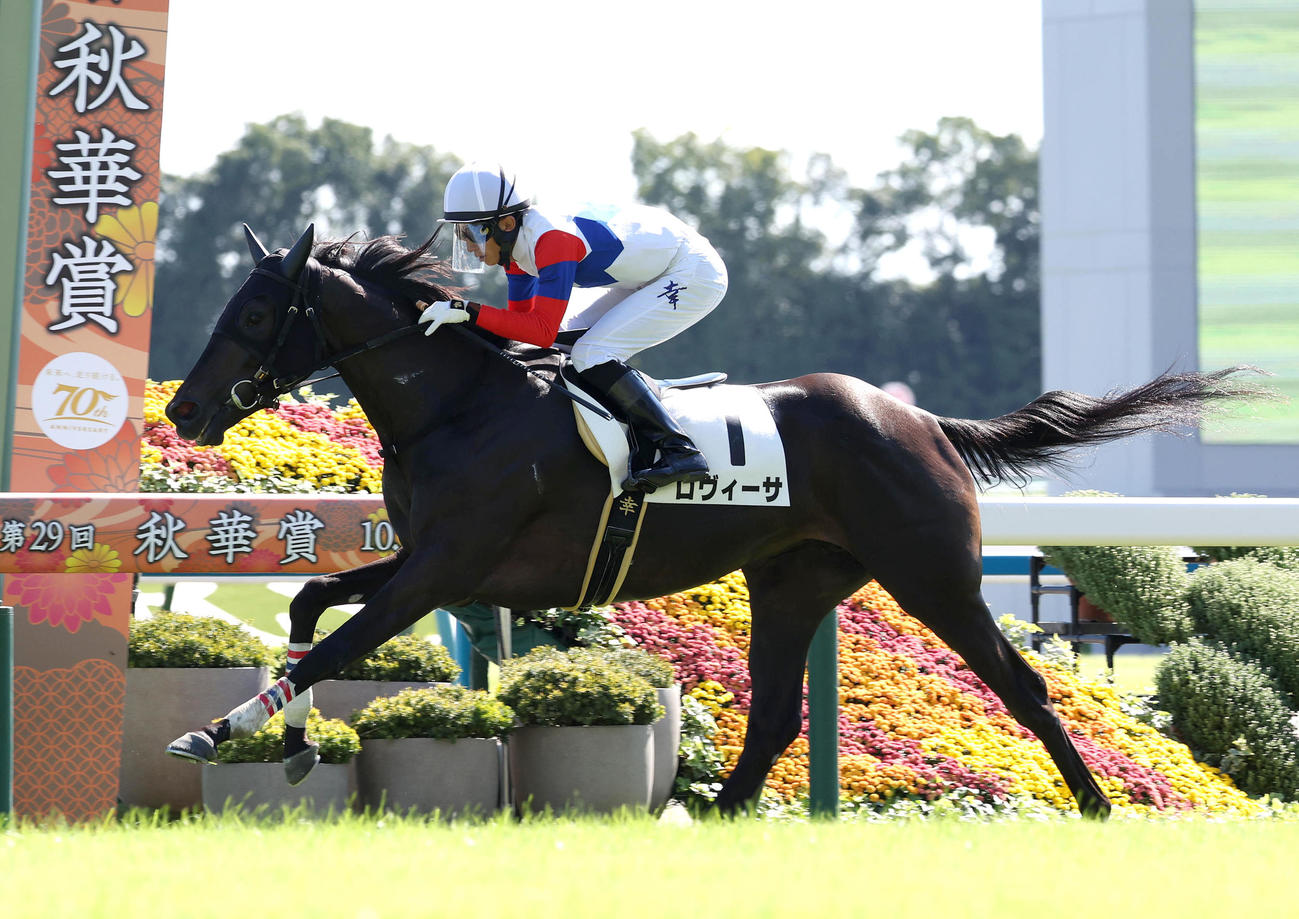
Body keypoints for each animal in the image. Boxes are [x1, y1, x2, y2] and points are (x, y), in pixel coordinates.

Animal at [162, 223, 1259, 819]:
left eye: (253, 315)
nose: (184, 409)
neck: (459, 405)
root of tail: (915, 418)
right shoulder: (439, 567)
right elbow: (310, 602)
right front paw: (291, 742)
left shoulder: (446, 567)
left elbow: (330, 642)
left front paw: (215, 731)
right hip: (793, 577)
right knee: (774, 712)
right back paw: (720, 815)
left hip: (933, 574)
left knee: (1024, 685)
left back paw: (1097, 804)